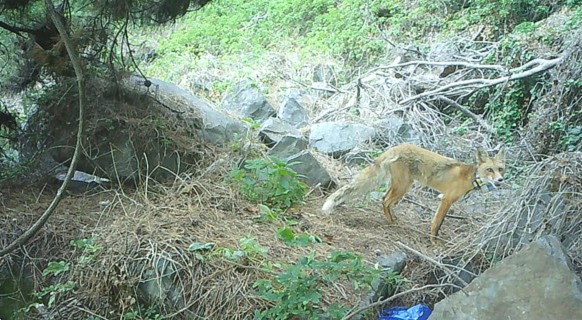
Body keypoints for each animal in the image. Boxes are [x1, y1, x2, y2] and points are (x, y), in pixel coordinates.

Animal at [324, 144, 506, 244]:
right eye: (489, 170)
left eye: (500, 169)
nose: (500, 180)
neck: (472, 177)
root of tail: (395, 147)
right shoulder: (446, 200)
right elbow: (436, 224)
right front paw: (434, 242)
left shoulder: (442, 197)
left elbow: (438, 222)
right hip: (403, 186)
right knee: (385, 201)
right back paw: (391, 223)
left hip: (398, 185)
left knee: (384, 199)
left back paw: (394, 219)